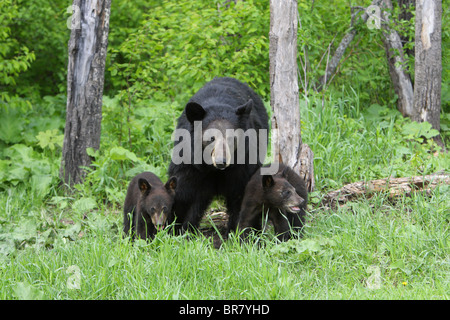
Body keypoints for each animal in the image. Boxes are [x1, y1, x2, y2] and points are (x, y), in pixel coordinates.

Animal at [168, 77, 268, 232]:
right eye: (211, 138)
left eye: (232, 138)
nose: (222, 161)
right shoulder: (190, 162)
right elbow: (185, 192)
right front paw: (178, 228)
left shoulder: (243, 163)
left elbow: (242, 192)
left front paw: (241, 230)